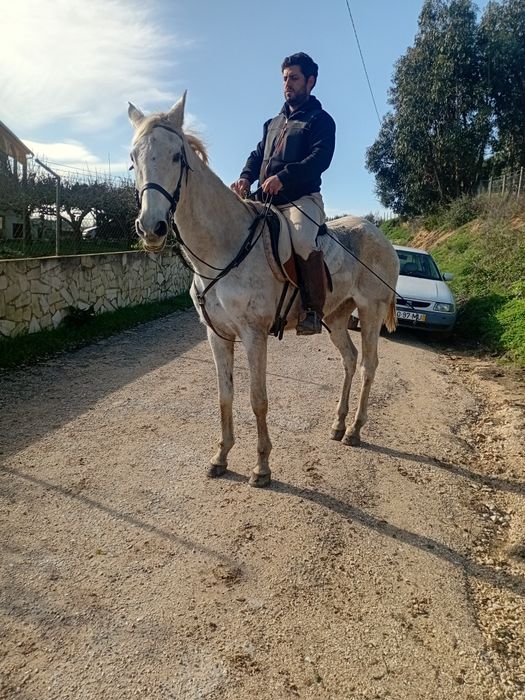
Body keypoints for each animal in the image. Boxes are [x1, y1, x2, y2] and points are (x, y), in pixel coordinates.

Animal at [128, 93, 400, 487]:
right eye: (134, 158)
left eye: (177, 156)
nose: (152, 227)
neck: (225, 247)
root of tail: (381, 236)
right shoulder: (217, 335)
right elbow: (225, 396)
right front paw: (221, 456)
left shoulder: (254, 335)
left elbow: (258, 399)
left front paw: (261, 466)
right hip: (335, 317)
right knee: (350, 360)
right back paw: (338, 425)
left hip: (371, 312)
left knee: (368, 366)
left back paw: (354, 430)